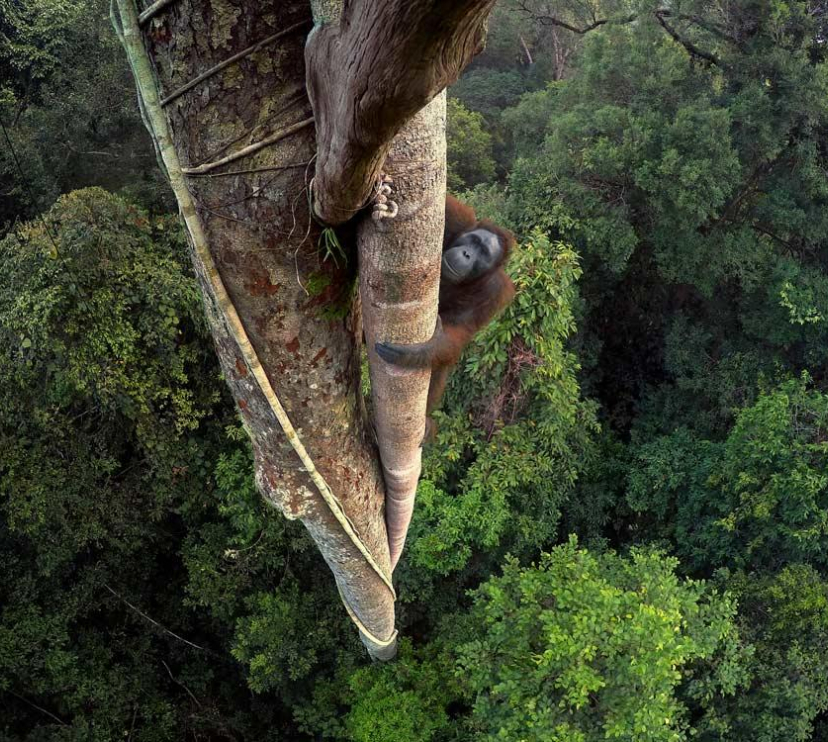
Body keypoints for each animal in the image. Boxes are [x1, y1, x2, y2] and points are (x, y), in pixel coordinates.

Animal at [375, 194, 516, 442]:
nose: (467, 253)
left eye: (483, 253)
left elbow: (459, 330)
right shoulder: (456, 219)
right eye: (473, 241)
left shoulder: (495, 292)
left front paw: (422, 350)